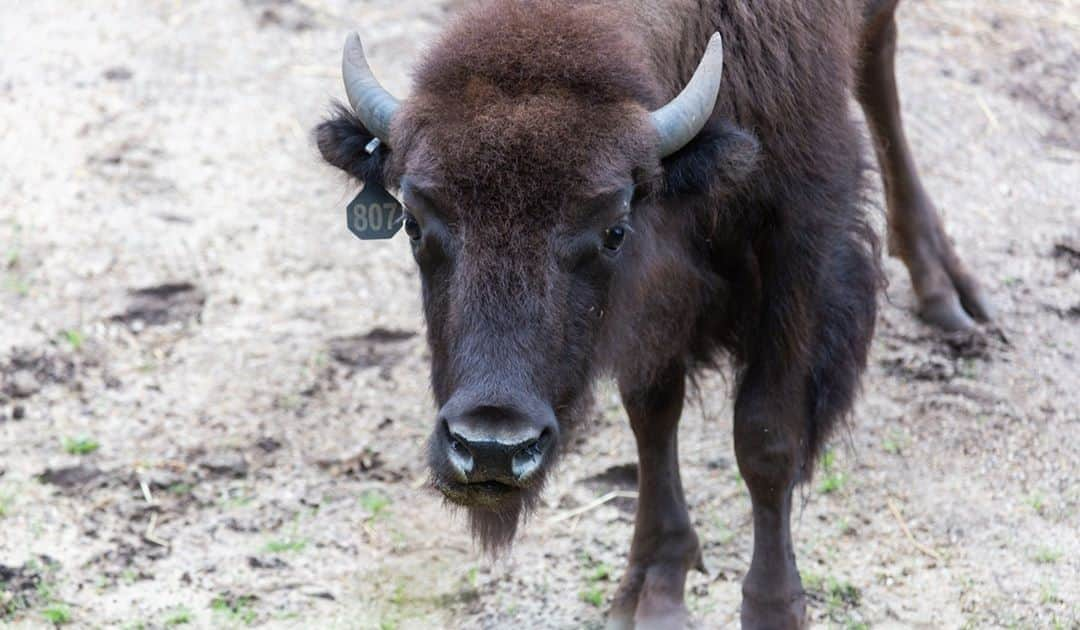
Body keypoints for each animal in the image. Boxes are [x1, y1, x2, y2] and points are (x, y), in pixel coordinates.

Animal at [315, 0, 993, 626]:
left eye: (614, 229)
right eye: (412, 221)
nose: (491, 448)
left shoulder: (800, 237)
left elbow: (765, 437)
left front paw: (774, 607)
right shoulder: (653, 302)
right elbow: (652, 415)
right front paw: (652, 589)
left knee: (880, 52)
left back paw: (946, 289)